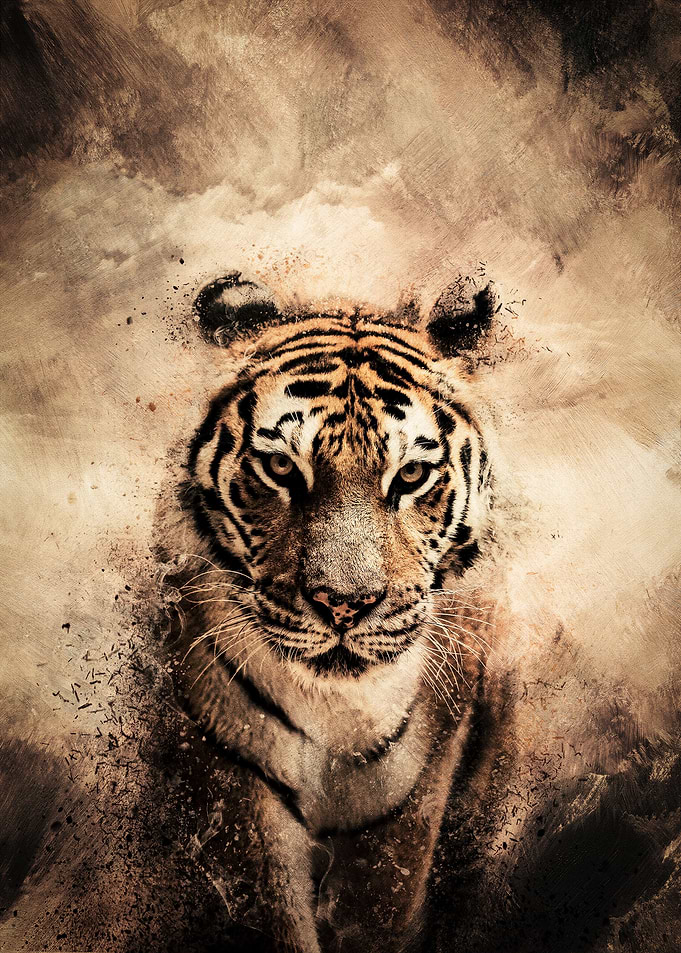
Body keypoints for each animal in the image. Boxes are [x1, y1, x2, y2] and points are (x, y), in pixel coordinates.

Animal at [157, 271, 506, 953]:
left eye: (412, 475)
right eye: (281, 466)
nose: (344, 603)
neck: (341, 715)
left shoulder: (417, 788)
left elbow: (381, 899)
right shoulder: (235, 766)